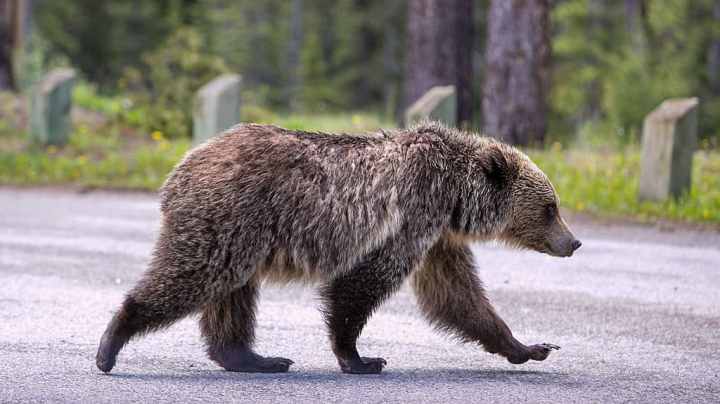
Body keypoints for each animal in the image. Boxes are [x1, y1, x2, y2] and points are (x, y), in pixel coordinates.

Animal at [96, 121, 581, 374]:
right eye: (550, 207)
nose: (574, 242)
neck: (456, 197)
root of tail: (180, 170)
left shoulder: (437, 237)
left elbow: (458, 297)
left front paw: (529, 347)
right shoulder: (409, 217)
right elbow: (360, 286)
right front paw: (360, 357)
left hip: (242, 235)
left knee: (232, 296)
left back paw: (255, 358)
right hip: (229, 218)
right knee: (193, 276)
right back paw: (111, 343)